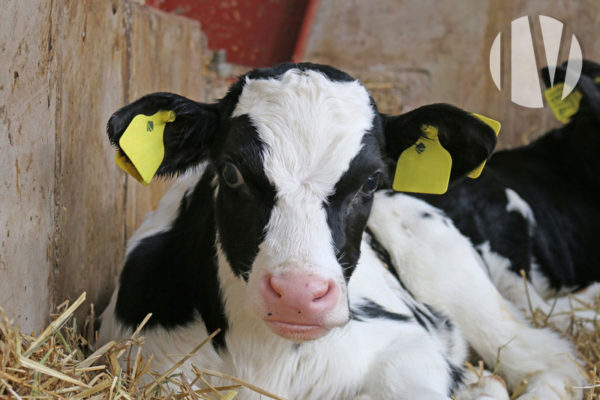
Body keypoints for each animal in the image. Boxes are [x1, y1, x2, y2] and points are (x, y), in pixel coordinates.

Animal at [101, 64, 584, 398]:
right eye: (231, 172)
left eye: (370, 181)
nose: (298, 293)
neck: (268, 358)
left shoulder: (408, 344)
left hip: (457, 280)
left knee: (551, 359)